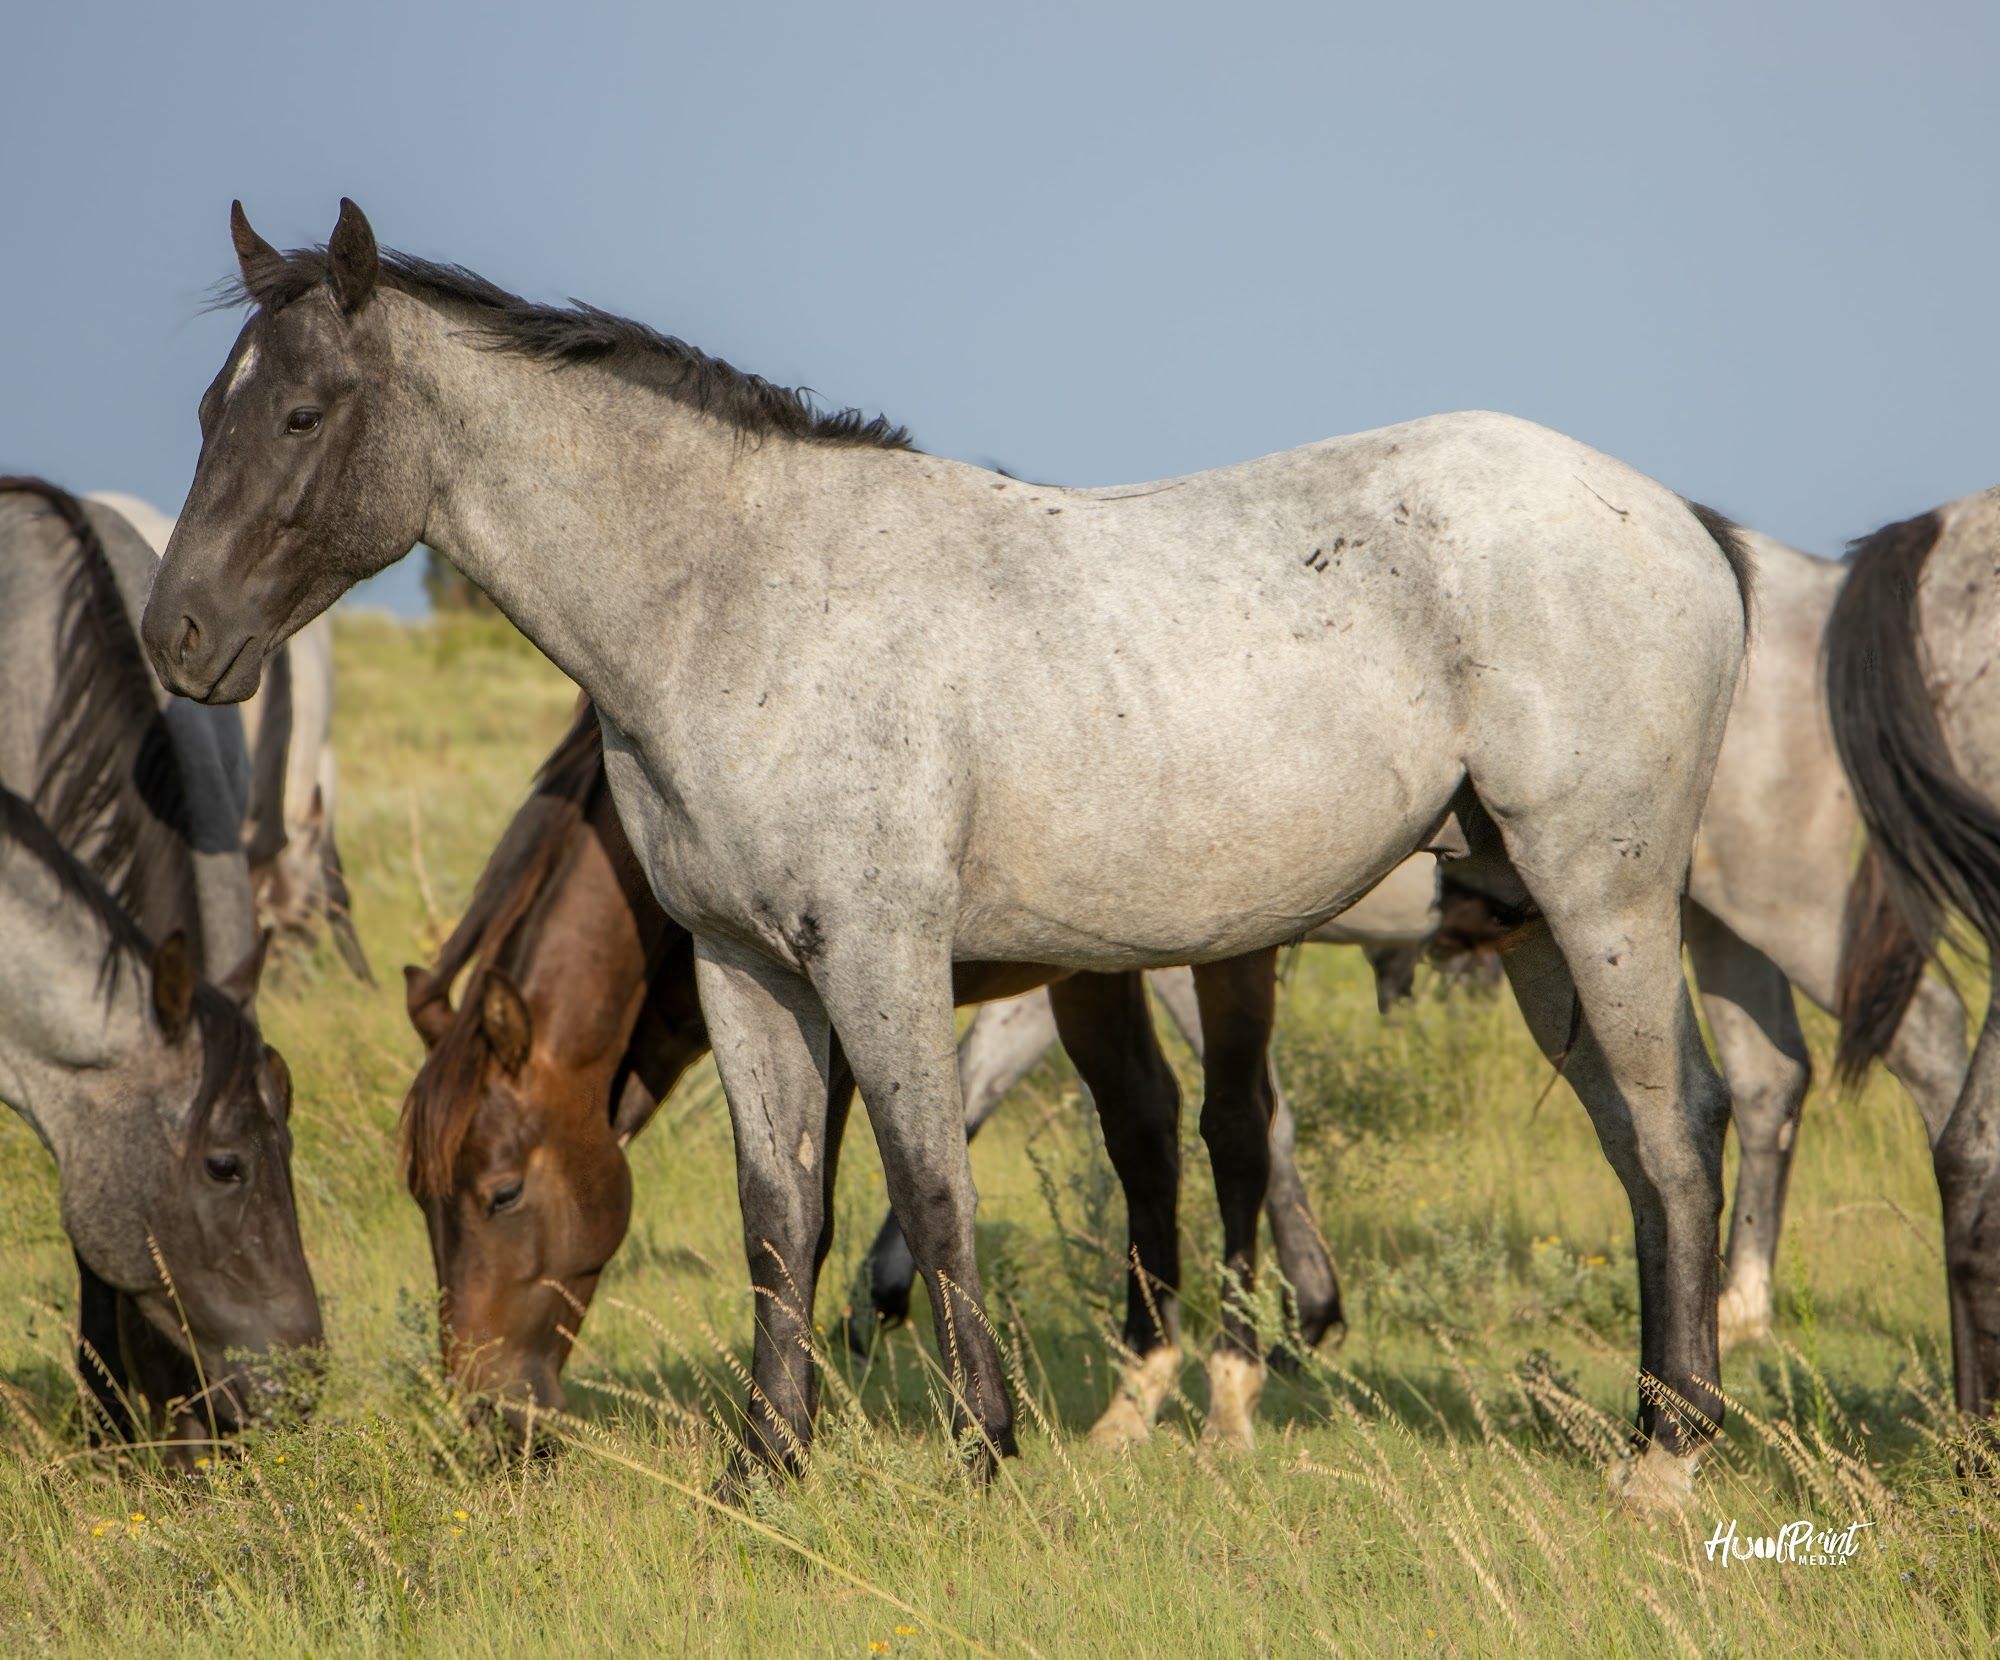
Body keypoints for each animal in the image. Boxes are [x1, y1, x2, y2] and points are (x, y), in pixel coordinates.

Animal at [401, 698, 1355, 1449]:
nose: (483, 1410)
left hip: (1224, 947)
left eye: (502, 1194)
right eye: (419, 1198)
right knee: (1145, 1129)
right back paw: (1137, 1392)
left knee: (1236, 1130)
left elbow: (816, 1215)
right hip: (1093, 965)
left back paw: (1233, 1393)